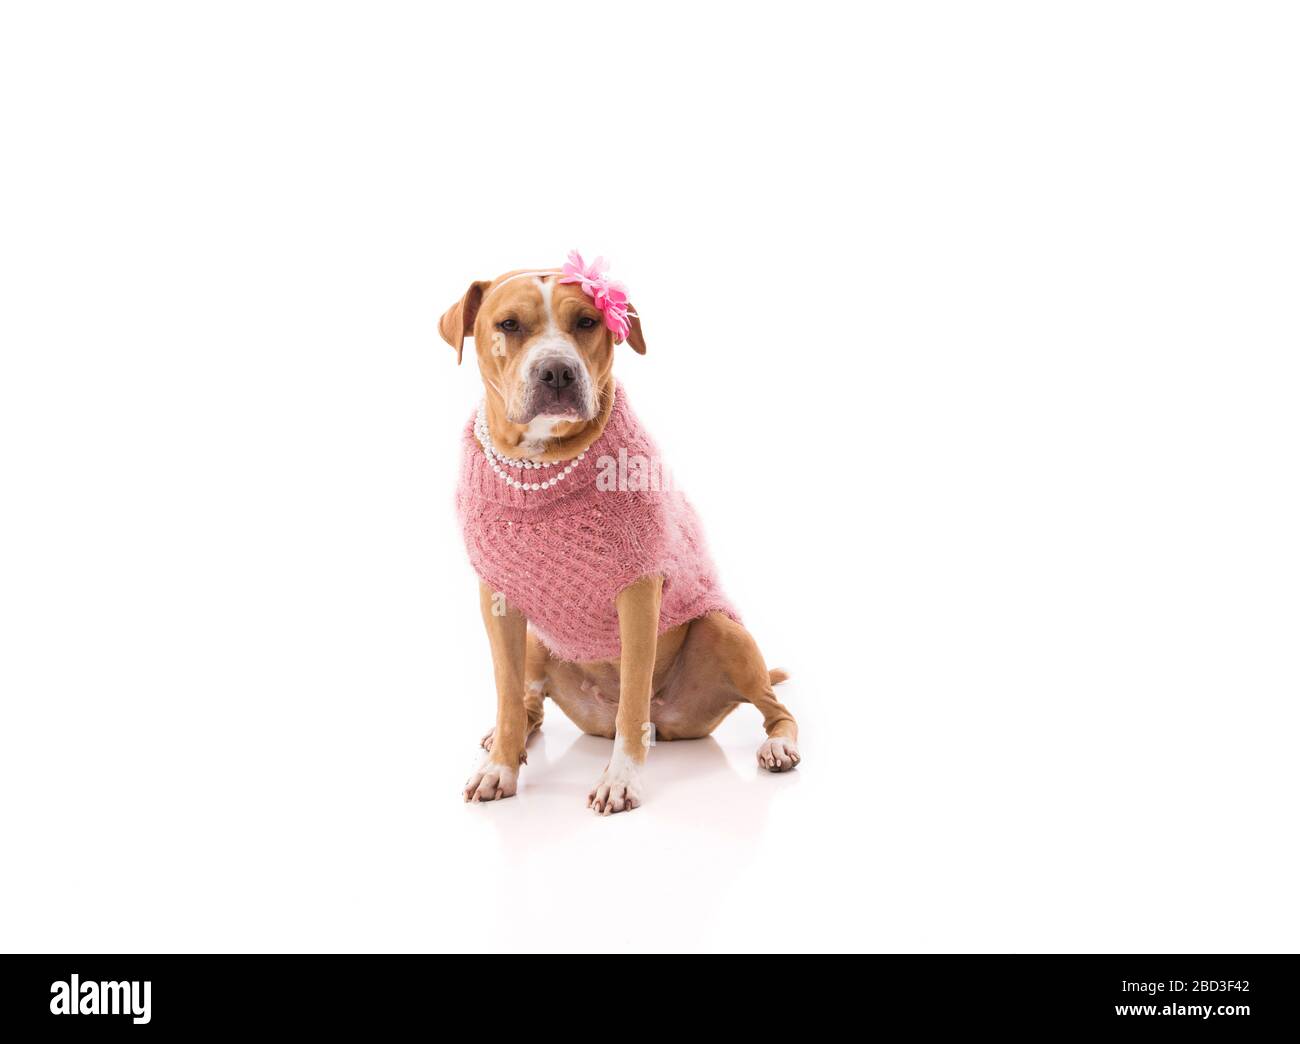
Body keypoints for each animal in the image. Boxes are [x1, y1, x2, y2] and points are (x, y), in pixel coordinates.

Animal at [441, 253, 795, 816]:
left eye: (587, 321)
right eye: (509, 325)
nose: (557, 370)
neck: (542, 465)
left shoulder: (639, 592)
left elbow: (632, 695)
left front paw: (622, 779)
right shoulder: (498, 600)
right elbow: (507, 693)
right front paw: (500, 765)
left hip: (724, 631)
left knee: (773, 706)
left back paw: (778, 745)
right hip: (541, 642)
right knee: (529, 701)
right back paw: (506, 737)